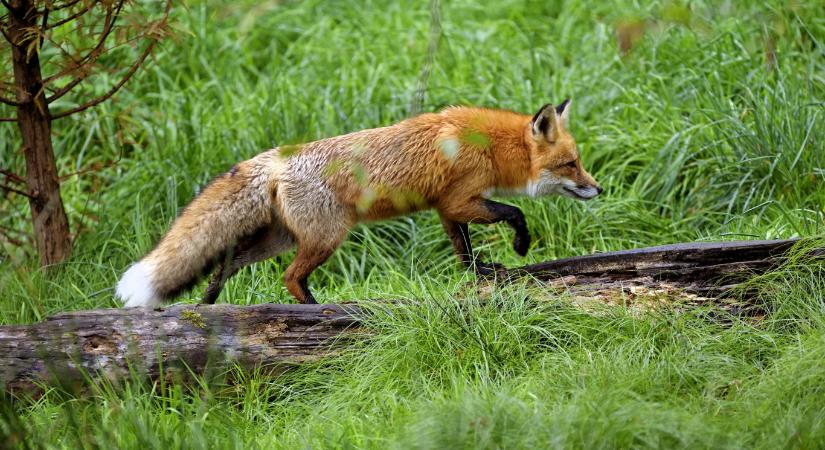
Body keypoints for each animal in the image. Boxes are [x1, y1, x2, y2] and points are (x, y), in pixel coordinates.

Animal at [116, 101, 600, 306]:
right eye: (571, 164)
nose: (599, 190)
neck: (491, 146)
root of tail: (276, 159)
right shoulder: (462, 200)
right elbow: (514, 213)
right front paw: (520, 246)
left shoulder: (446, 209)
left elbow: (463, 252)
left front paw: (482, 273)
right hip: (326, 238)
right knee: (290, 278)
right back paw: (315, 311)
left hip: (280, 239)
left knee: (228, 259)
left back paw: (207, 303)